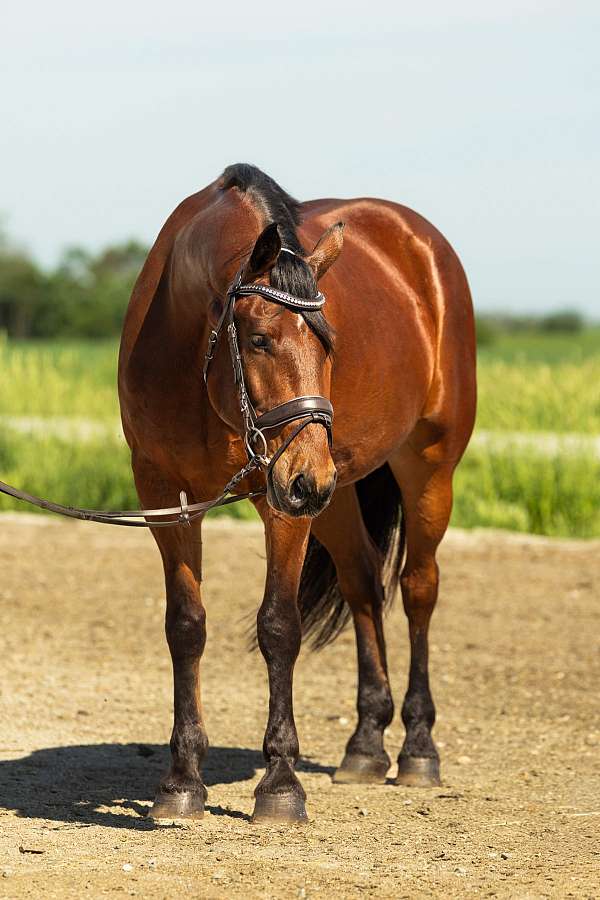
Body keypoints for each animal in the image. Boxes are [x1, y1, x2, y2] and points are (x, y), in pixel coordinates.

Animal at [118, 163, 476, 824]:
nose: (310, 480)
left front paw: (280, 784)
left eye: (330, 341)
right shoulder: (164, 494)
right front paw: (181, 781)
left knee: (418, 589)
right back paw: (365, 745)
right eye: (259, 339)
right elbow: (185, 625)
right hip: (334, 492)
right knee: (363, 582)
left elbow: (279, 627)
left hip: (420, 466)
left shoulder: (279, 500)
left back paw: (417, 749)